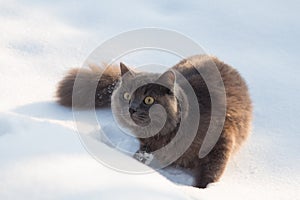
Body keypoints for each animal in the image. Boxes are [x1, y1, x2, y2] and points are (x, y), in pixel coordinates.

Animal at [56, 54, 253, 188]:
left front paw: (203, 189)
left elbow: (212, 171)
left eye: (148, 100)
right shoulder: (146, 146)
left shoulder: (221, 139)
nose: (131, 108)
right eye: (127, 95)